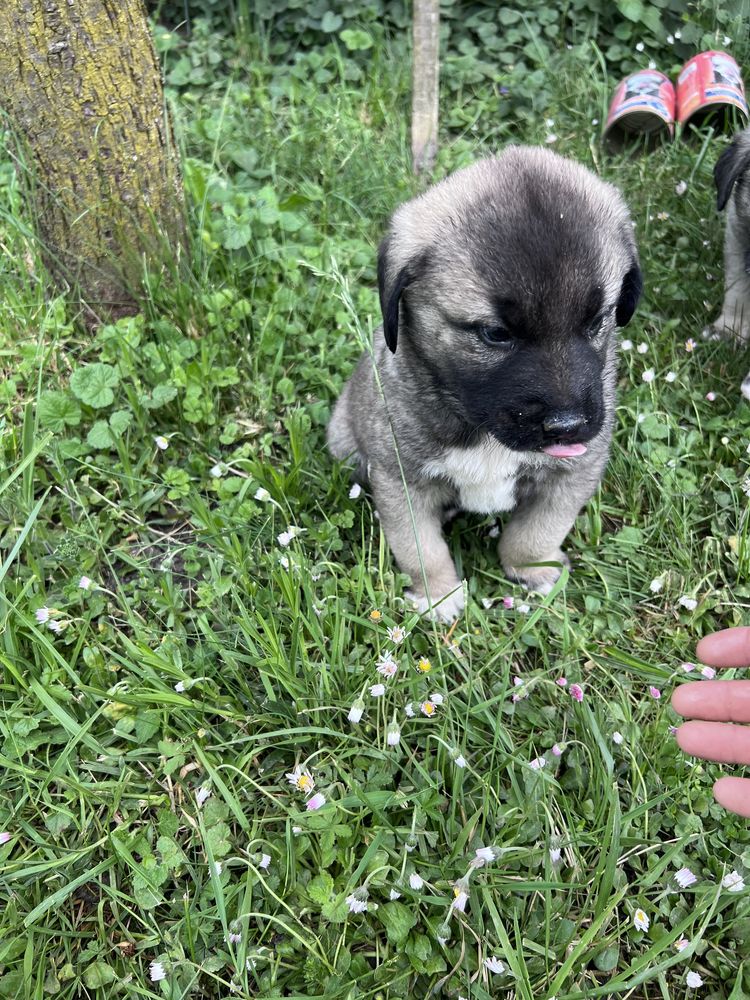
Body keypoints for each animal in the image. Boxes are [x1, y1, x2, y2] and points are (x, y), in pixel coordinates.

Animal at [332, 146, 644, 616]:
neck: (482, 432)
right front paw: (438, 594)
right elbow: (421, 548)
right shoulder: (400, 479)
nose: (567, 426)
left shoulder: (572, 473)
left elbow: (536, 532)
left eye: (596, 321)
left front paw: (531, 570)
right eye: (495, 333)